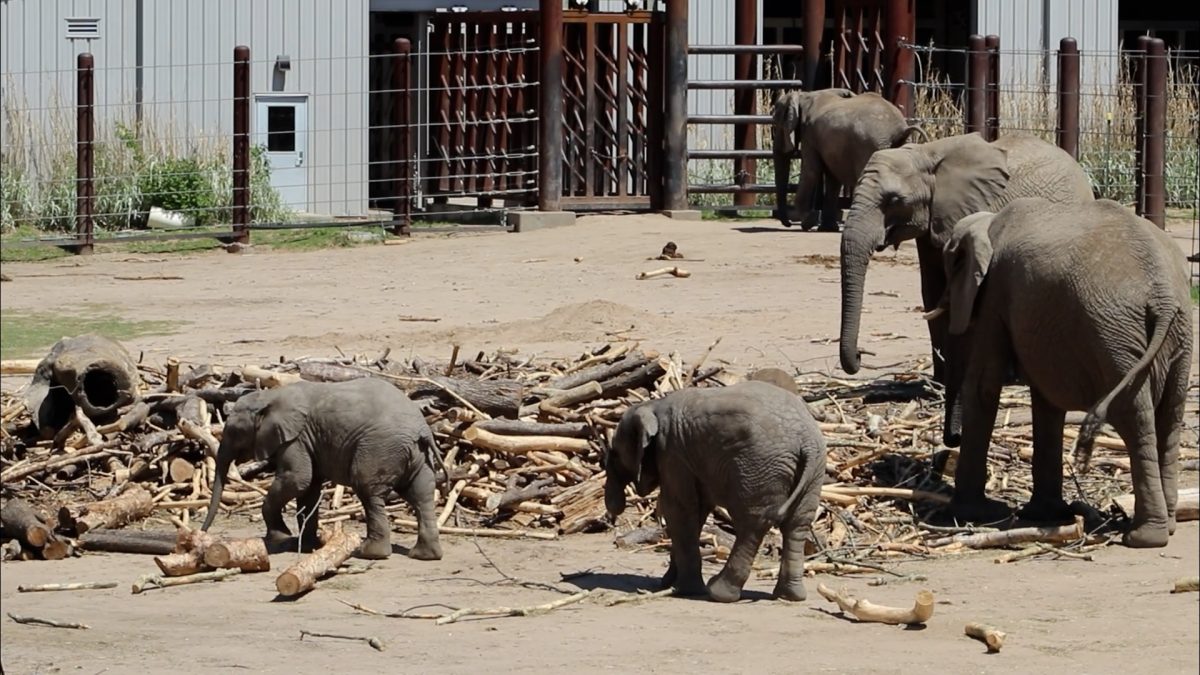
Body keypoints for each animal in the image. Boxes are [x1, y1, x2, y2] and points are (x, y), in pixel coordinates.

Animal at [200, 377, 444, 561]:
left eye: (233, 431)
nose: (202, 533)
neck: (270, 396)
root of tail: (422, 430)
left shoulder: (295, 439)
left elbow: (297, 479)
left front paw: (280, 539)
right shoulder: (306, 441)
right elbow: (308, 488)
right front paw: (308, 546)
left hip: (379, 448)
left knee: (369, 491)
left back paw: (369, 553)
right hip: (416, 455)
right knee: (421, 494)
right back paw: (424, 555)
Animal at [603, 381, 827, 603]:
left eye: (614, 454)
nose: (612, 512)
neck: (652, 406)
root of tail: (806, 441)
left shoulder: (672, 452)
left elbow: (679, 510)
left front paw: (683, 590)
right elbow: (697, 513)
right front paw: (667, 584)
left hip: (758, 466)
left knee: (753, 523)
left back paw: (719, 592)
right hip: (813, 471)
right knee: (798, 524)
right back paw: (790, 595)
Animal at [772, 88, 927, 231]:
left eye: (774, 125)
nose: (788, 224)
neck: (803, 95)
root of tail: (901, 129)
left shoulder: (809, 134)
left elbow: (811, 171)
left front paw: (807, 223)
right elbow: (832, 178)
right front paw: (827, 228)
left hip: (870, 145)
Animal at [937, 198, 1193, 547]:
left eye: (951, 266)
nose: (949, 444)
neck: (990, 221)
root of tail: (1164, 295)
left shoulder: (995, 294)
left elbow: (983, 386)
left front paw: (974, 514)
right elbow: (1046, 401)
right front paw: (1045, 514)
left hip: (1114, 337)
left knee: (1134, 416)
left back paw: (1143, 537)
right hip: (1176, 334)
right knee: (1169, 415)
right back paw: (1167, 527)